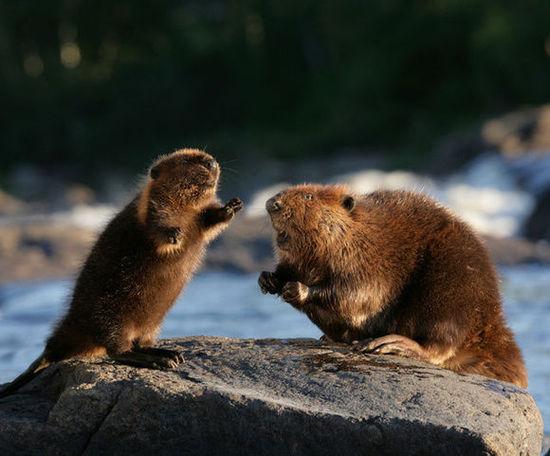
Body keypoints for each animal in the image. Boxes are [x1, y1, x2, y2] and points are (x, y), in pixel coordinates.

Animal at [1, 148, 244, 398]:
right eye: (186, 160)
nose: (211, 162)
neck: (186, 210)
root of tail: (54, 346)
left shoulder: (197, 217)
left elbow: (208, 223)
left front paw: (232, 206)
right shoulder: (148, 208)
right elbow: (157, 223)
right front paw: (174, 235)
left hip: (150, 324)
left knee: (138, 343)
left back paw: (169, 354)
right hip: (111, 315)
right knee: (117, 350)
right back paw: (160, 361)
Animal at [262, 183, 532, 386]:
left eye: (308, 196)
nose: (272, 203)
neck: (358, 231)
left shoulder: (367, 260)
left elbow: (354, 295)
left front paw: (297, 289)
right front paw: (268, 279)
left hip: (449, 294)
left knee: (439, 345)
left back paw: (387, 343)